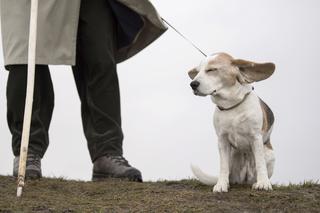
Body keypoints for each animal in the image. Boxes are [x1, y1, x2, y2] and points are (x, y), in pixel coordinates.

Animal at [190, 52, 276, 192]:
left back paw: (257, 182)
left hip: (270, 154)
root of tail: (245, 179)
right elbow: (223, 166)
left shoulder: (256, 138)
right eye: (197, 72)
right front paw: (221, 185)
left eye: (211, 70)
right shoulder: (222, 140)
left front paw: (263, 183)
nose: (193, 84)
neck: (231, 105)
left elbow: (260, 163)